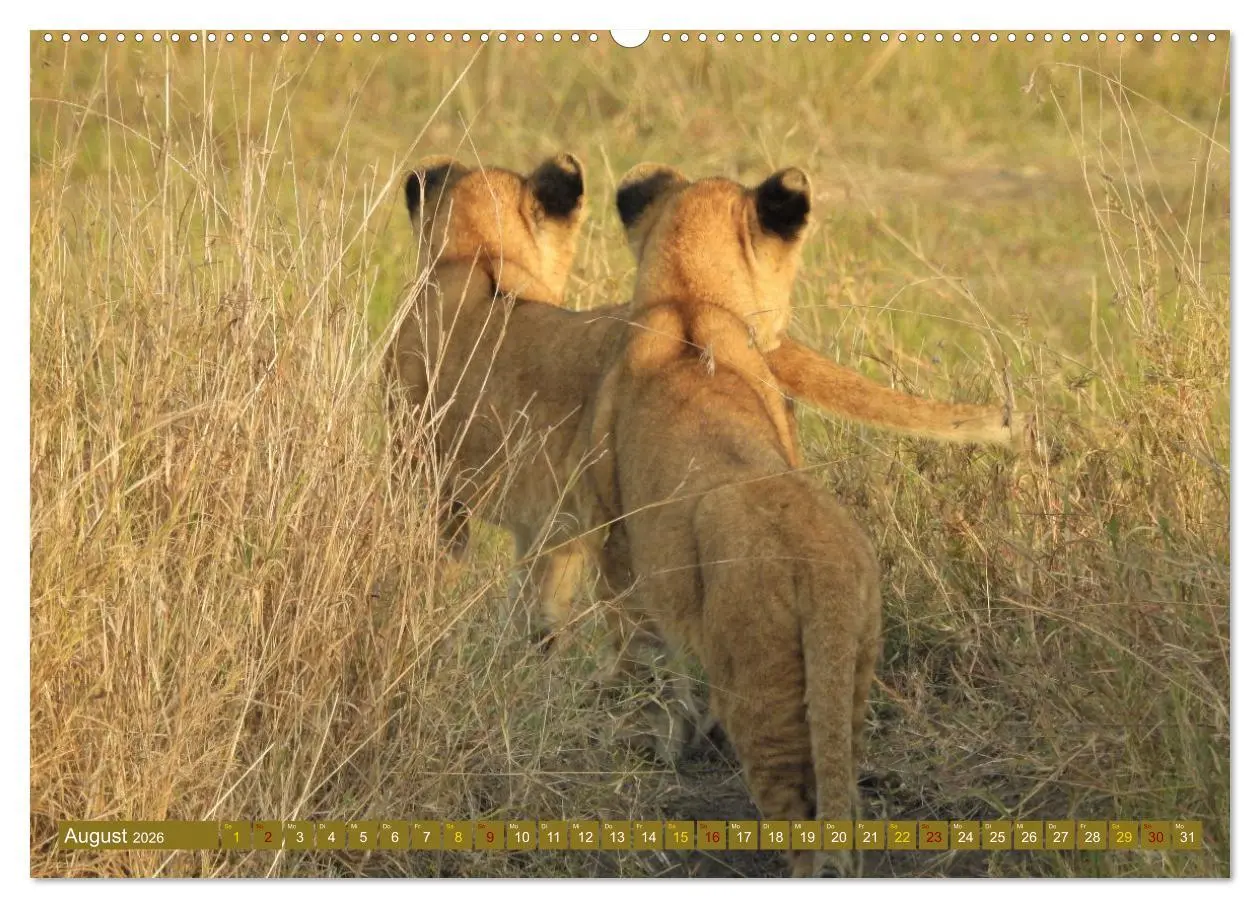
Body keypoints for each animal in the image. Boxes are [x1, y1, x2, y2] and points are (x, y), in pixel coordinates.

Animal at [586, 164, 884, 877]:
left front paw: (659, 736)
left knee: (797, 809)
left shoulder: (616, 539)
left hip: (758, 681)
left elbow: (639, 642)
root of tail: (823, 570)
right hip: (850, 667)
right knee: (842, 785)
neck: (690, 299)